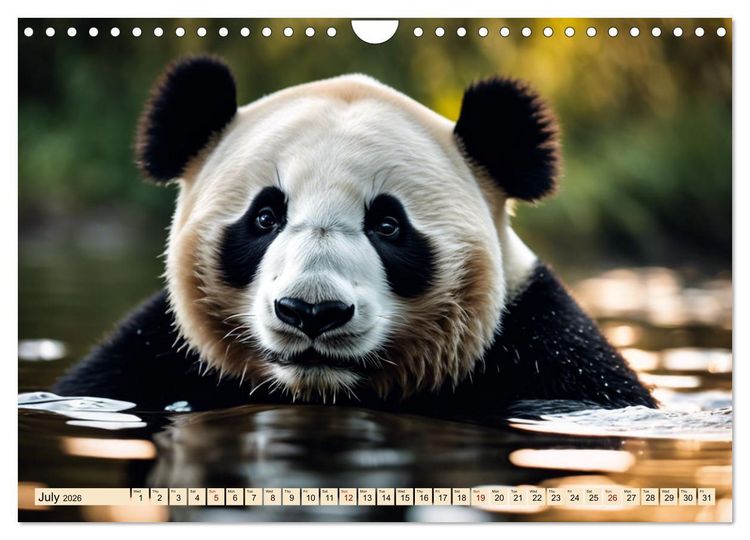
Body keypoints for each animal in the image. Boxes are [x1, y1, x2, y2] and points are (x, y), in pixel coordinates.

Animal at [53, 56, 656, 418]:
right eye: (265, 217)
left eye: (388, 225)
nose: (311, 312)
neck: (321, 389)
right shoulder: (146, 359)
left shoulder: (551, 356)